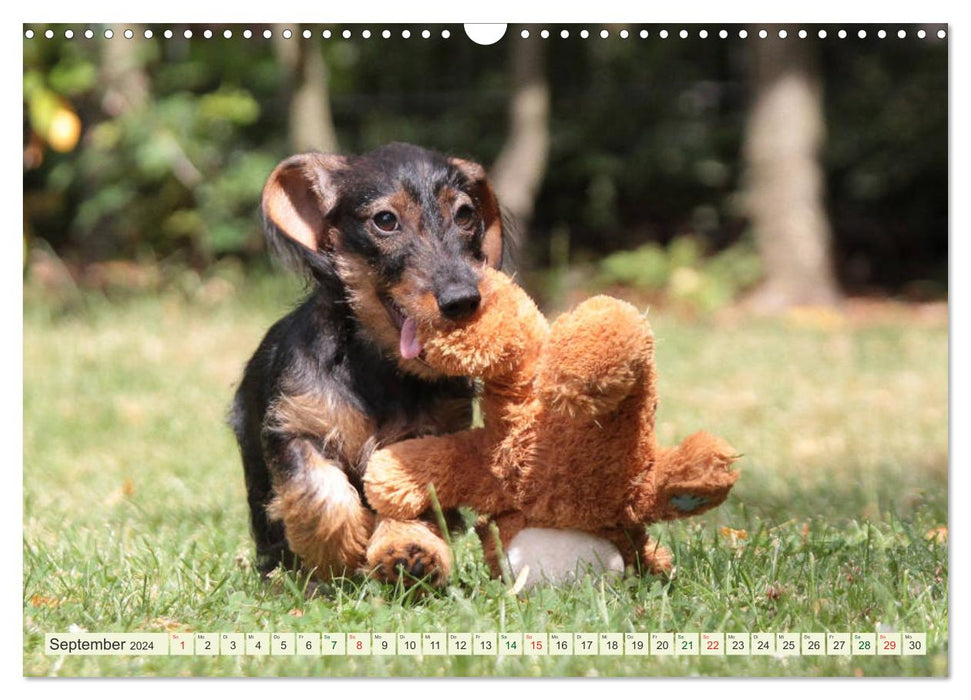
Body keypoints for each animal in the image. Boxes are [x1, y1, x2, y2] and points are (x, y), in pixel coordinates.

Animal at [231, 142, 504, 584]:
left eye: (465, 214)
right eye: (386, 220)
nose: (462, 300)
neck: (380, 368)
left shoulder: (425, 442)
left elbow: (410, 503)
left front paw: (409, 552)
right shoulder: (293, 426)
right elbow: (319, 491)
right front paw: (340, 553)